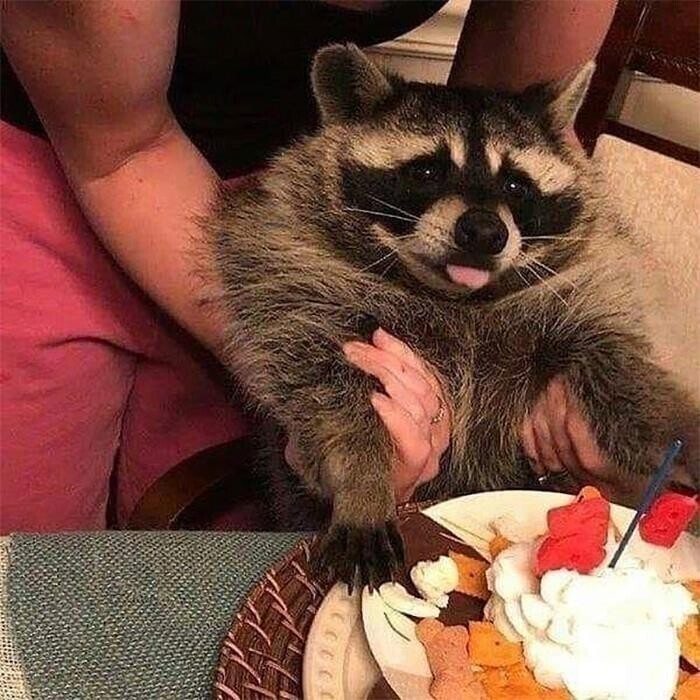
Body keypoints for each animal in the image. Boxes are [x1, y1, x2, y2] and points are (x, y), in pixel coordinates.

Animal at [206, 44, 699, 586]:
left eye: (516, 185)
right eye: (427, 172)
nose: (484, 232)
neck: (456, 298)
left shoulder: (586, 291)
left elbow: (622, 364)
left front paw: (677, 429)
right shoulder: (297, 288)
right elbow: (328, 395)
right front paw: (363, 478)